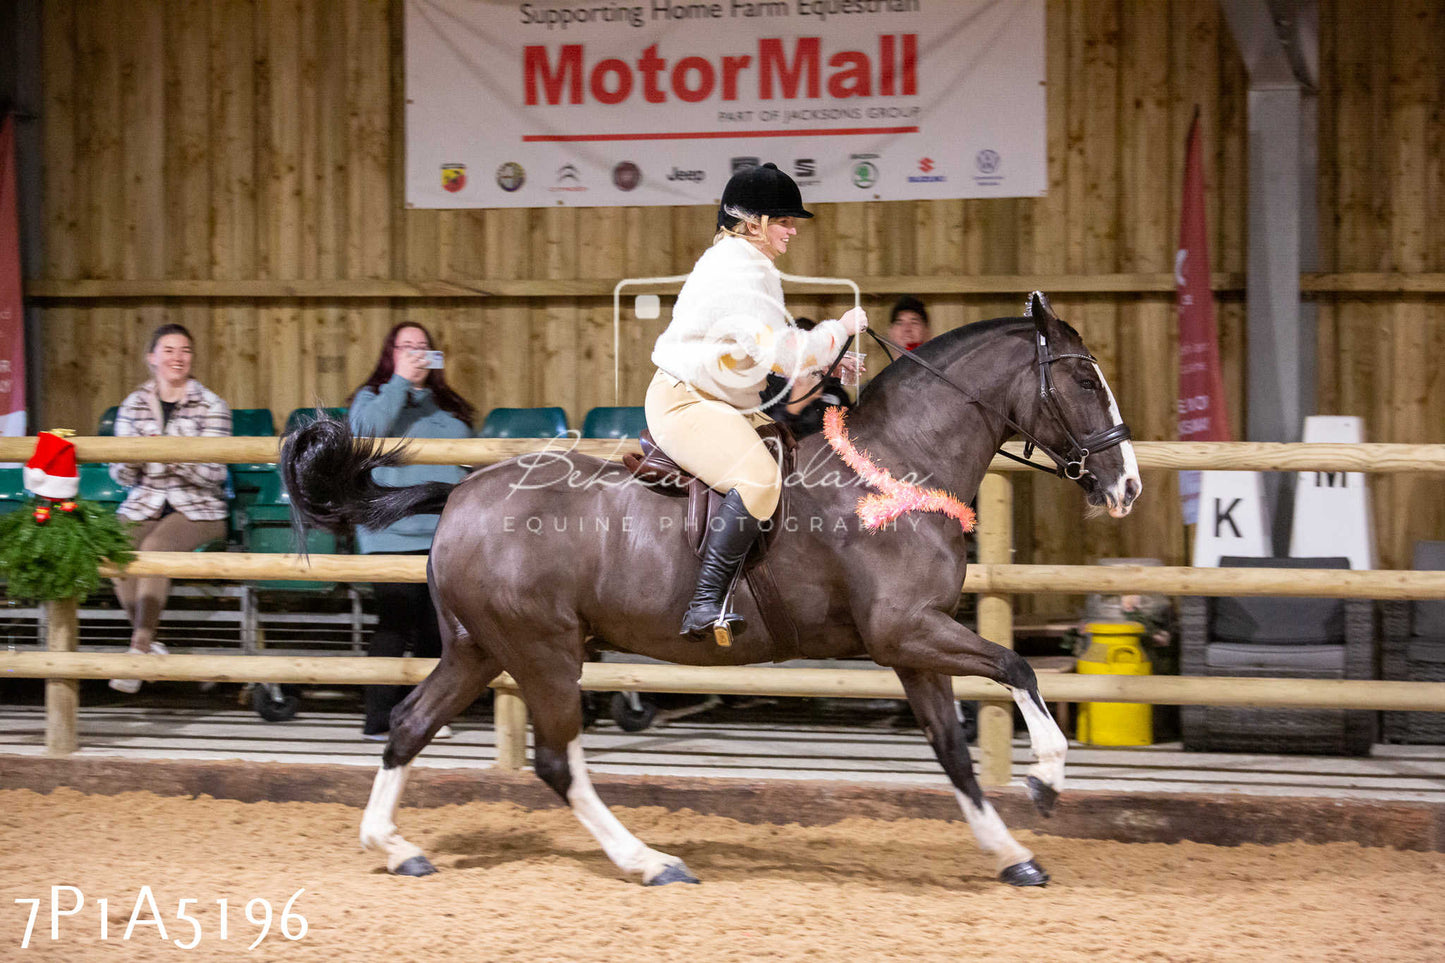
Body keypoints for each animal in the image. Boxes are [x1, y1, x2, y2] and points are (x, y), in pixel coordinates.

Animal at [281, 290, 1138, 884]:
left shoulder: (912, 646)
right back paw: (649, 861)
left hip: (479, 648)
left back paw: (395, 846)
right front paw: (1046, 776)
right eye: (1083, 379)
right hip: (543, 652)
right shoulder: (906, 628)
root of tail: (459, 492)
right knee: (556, 760)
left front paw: (1012, 852)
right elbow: (1016, 665)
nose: (1125, 485)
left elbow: (955, 753)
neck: (895, 464)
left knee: (408, 725)